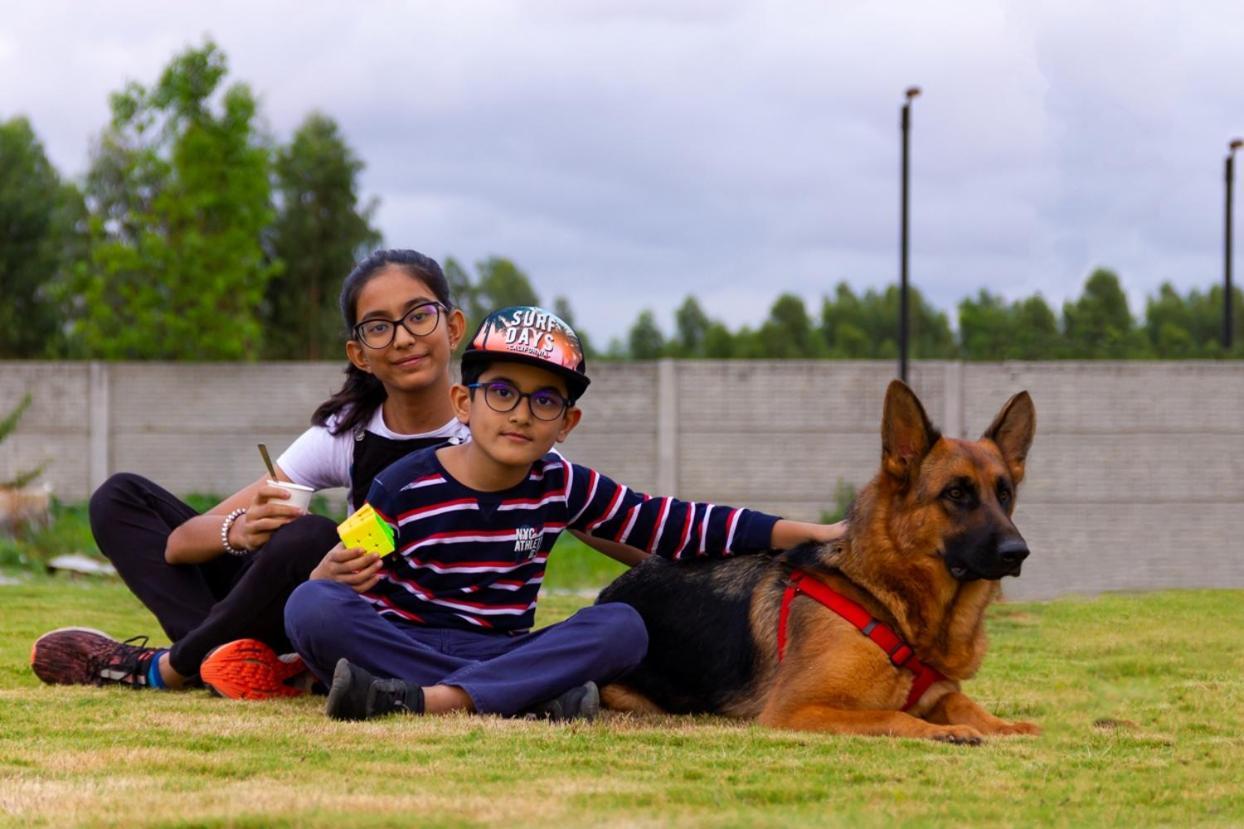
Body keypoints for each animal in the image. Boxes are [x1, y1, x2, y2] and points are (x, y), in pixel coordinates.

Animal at [599, 378, 1039, 736]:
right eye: (955, 493)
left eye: (1004, 494)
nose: (1018, 553)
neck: (884, 603)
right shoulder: (796, 709)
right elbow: (891, 715)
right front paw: (947, 732)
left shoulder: (937, 693)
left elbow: (962, 702)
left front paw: (1005, 726)